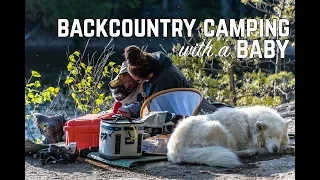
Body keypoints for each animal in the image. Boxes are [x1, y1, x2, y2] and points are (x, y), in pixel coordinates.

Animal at [168, 106, 296, 168]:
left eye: (279, 137)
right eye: (268, 136)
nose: (275, 149)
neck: (251, 125)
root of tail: (176, 148)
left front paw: (288, 146)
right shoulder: (250, 143)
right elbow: (263, 148)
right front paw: (286, 148)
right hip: (218, 128)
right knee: (231, 151)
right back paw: (248, 152)